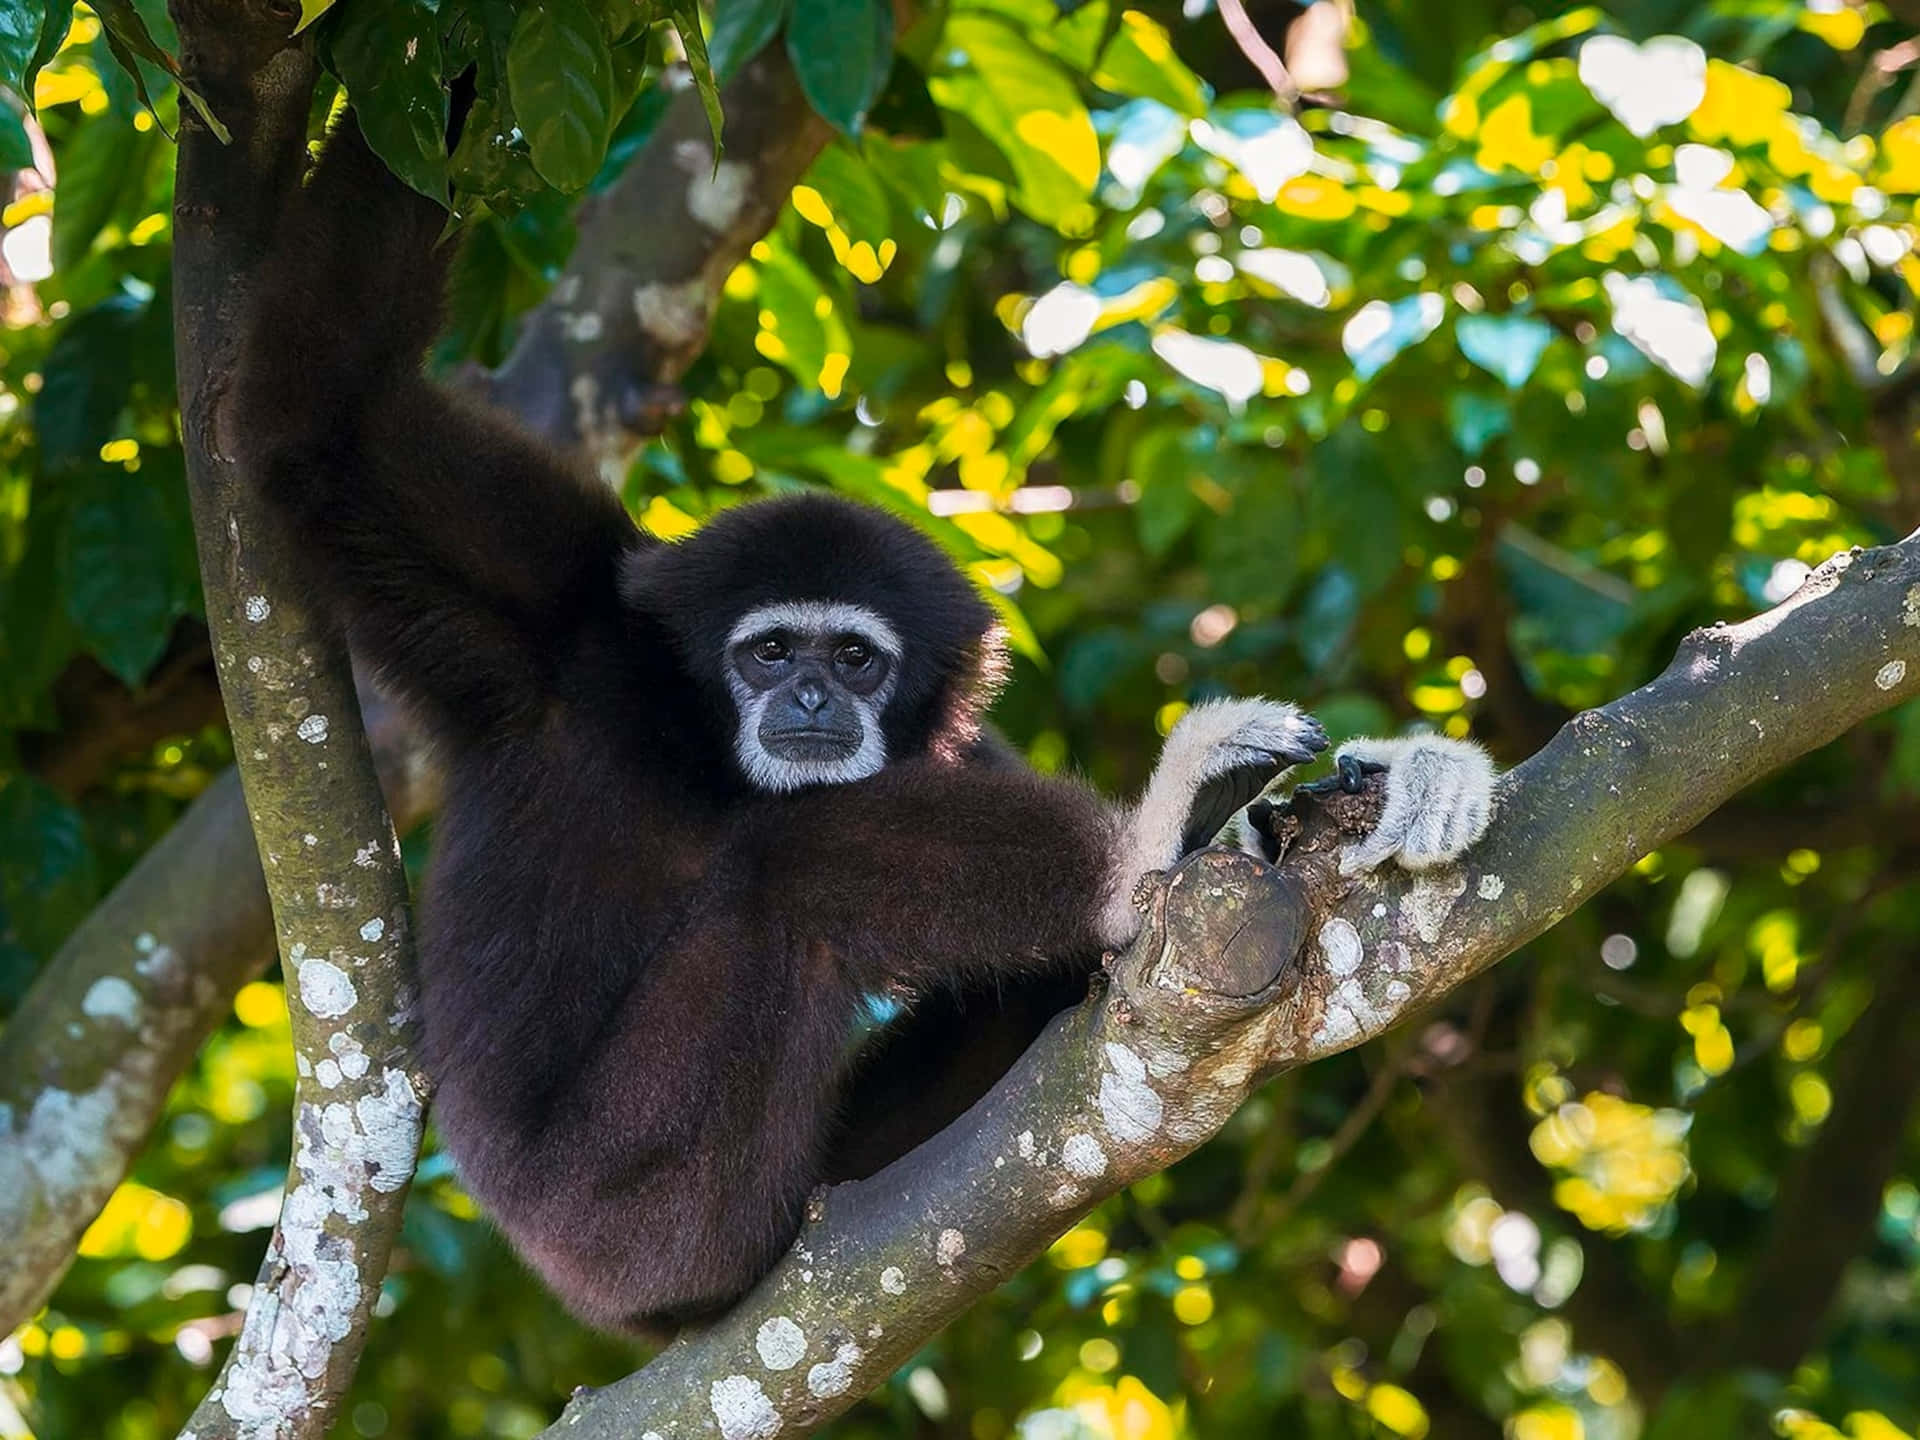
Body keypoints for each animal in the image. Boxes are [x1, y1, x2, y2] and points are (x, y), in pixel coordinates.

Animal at [228, 111, 1496, 1334]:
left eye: (852, 657)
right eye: (770, 651)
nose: (809, 699)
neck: (697, 738)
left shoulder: (940, 731)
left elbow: (321, 414)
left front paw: (1393, 774)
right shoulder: (558, 622)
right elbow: (324, 416)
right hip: (633, 1209)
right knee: (793, 874)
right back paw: (1145, 852)